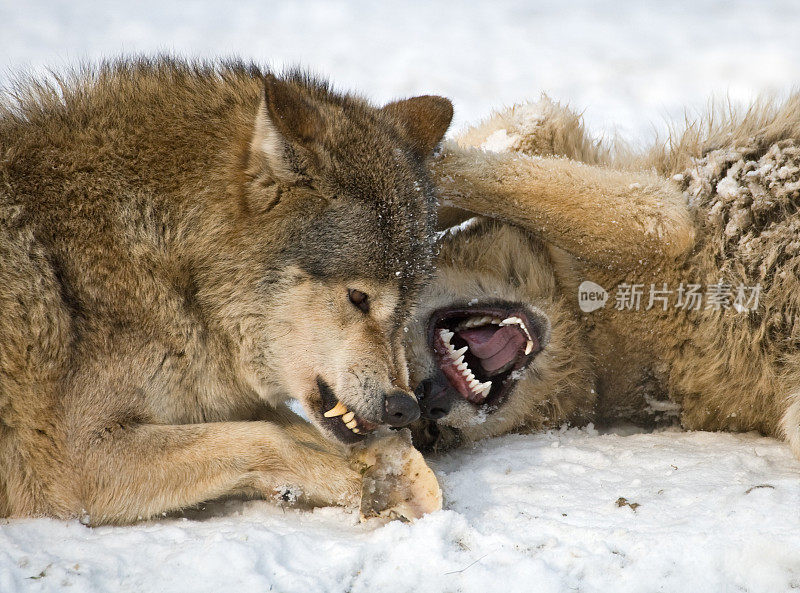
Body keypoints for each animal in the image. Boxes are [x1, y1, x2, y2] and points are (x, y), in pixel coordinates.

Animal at [0, 57, 450, 524]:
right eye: (358, 298)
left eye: (405, 309)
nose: (405, 407)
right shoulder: (76, 457)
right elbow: (267, 438)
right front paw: (375, 488)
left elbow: (287, 427)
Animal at [406, 93, 800, 458]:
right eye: (430, 432)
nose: (430, 400)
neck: (581, 321)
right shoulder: (658, 215)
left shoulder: (662, 213)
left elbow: (511, 143)